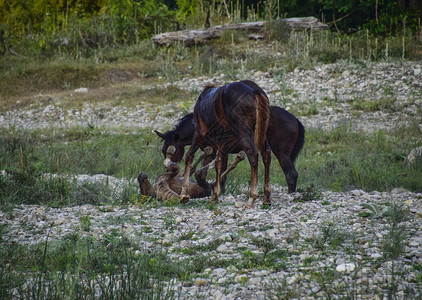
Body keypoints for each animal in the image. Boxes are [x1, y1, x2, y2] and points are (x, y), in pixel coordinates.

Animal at [154, 81, 304, 197]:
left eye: (166, 150)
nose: (169, 170)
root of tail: (296, 120)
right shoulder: (220, 151)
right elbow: (220, 171)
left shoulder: (212, 150)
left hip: (281, 152)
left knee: (290, 174)